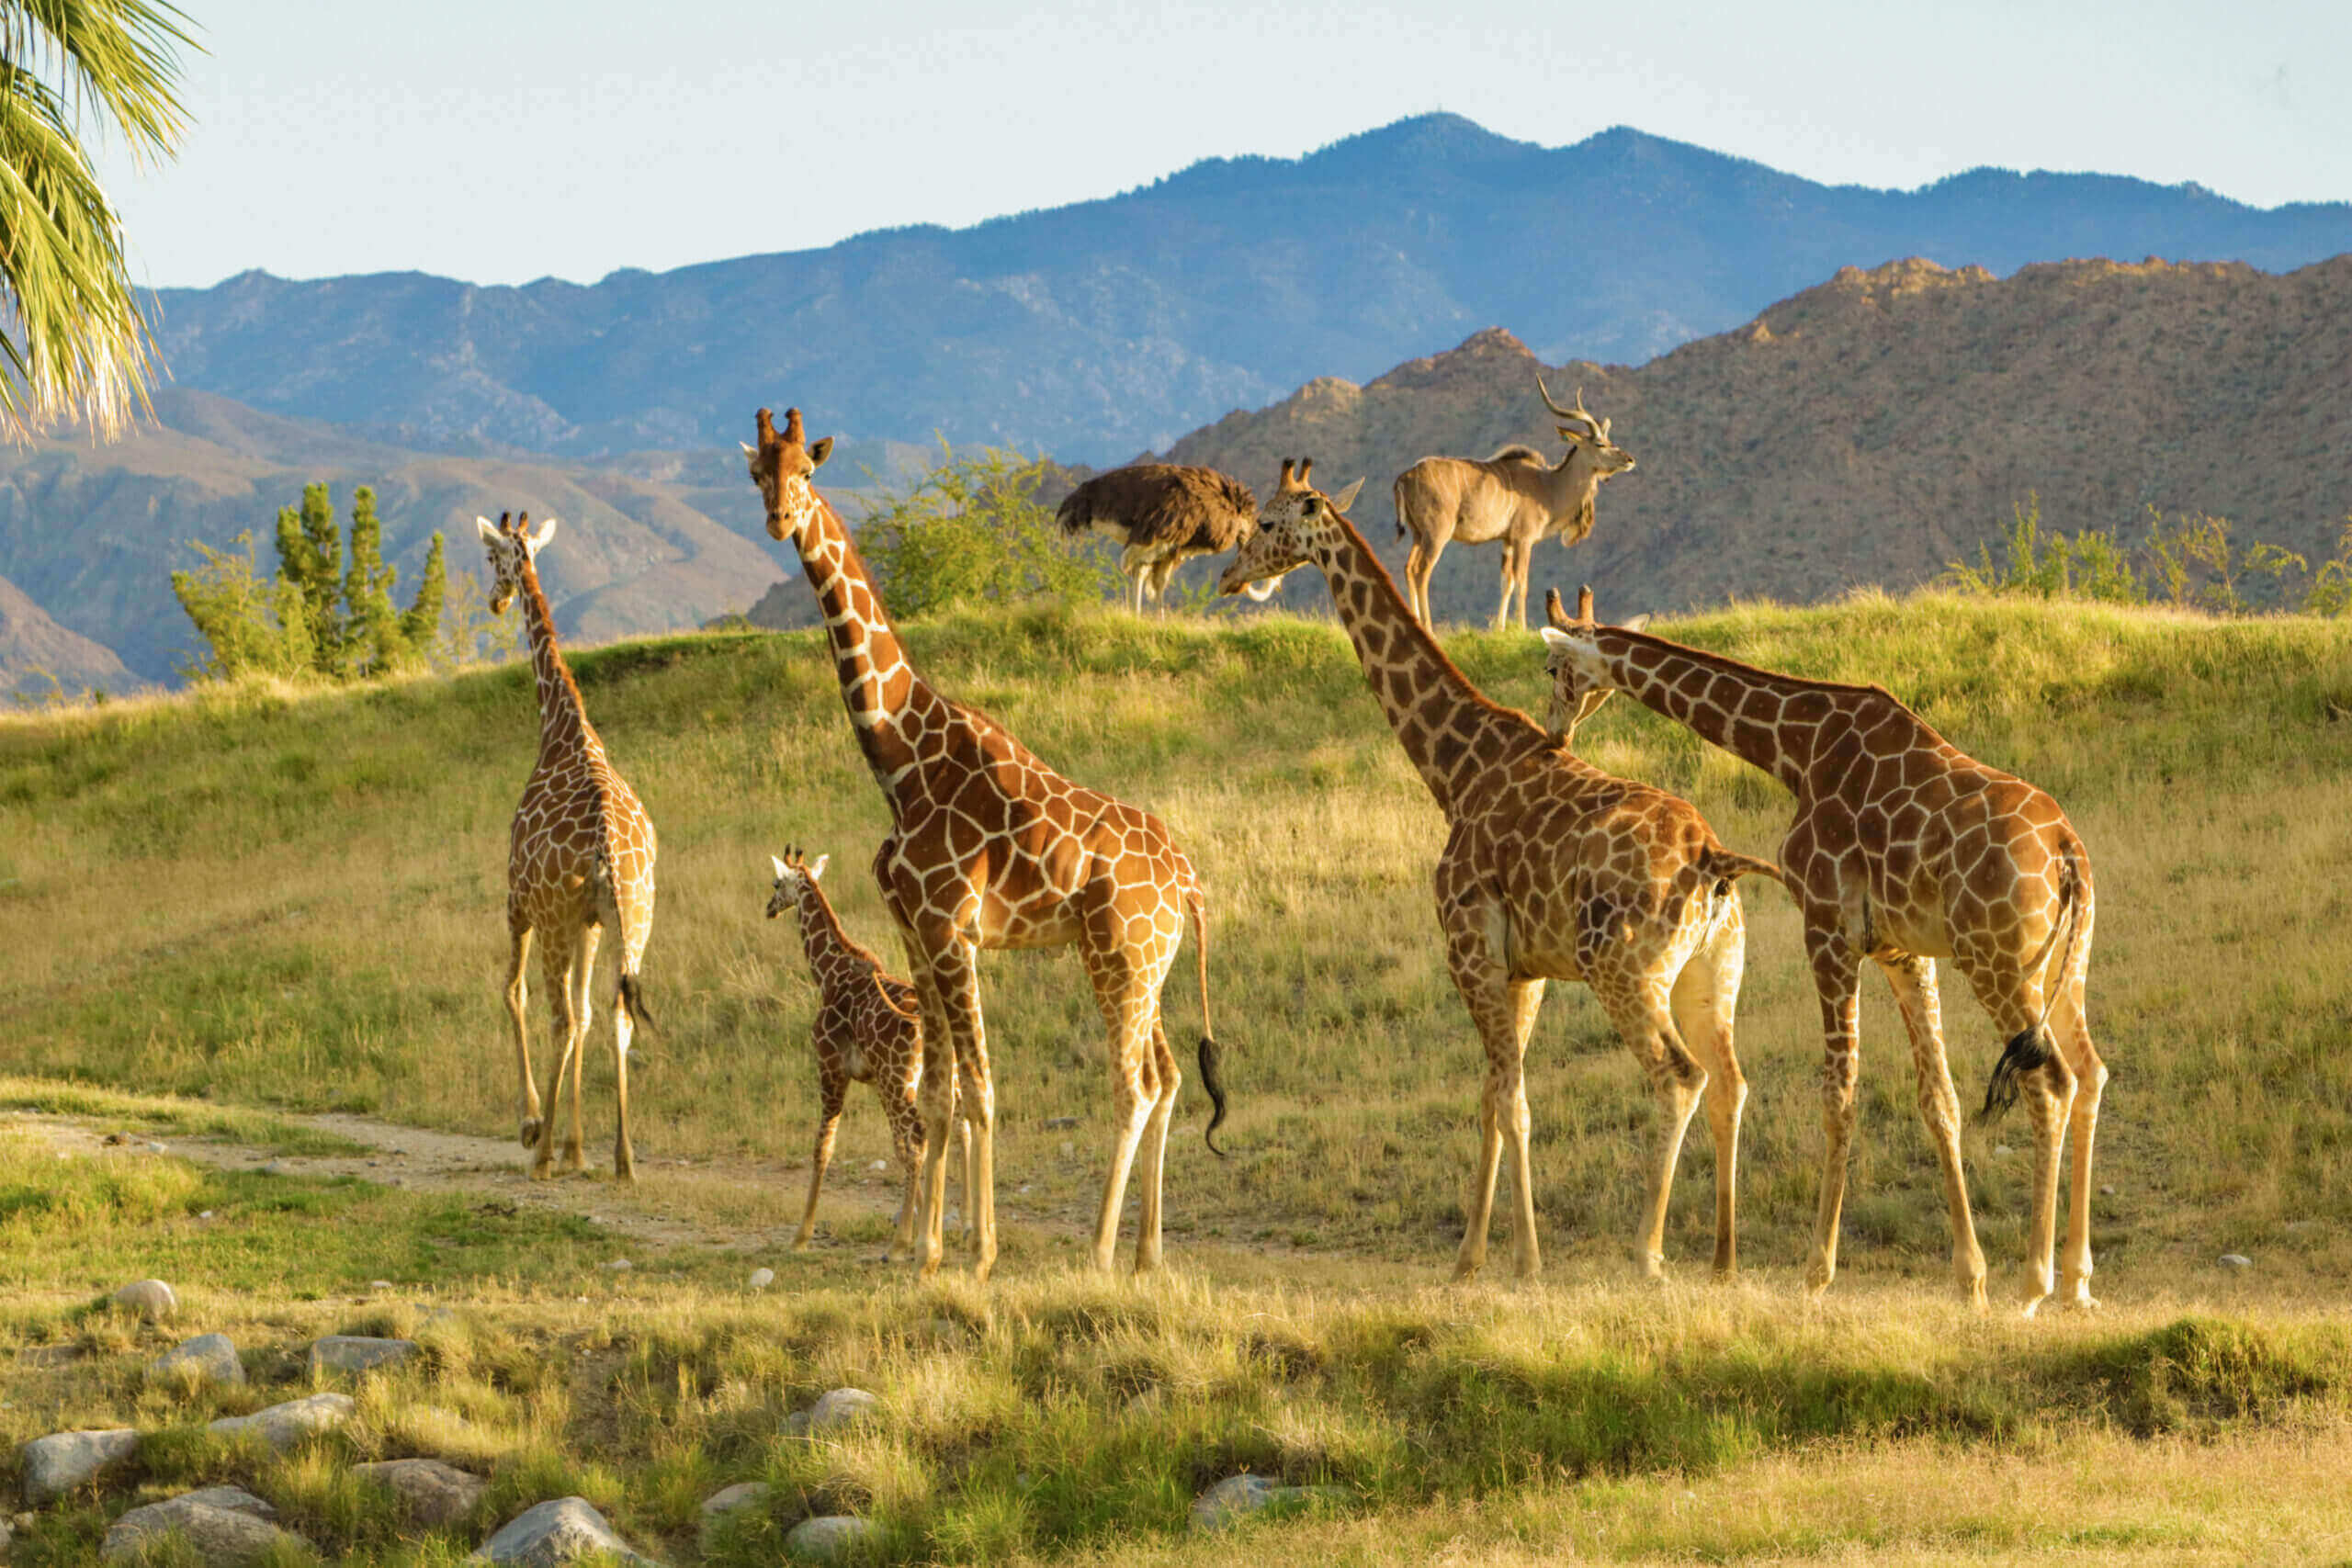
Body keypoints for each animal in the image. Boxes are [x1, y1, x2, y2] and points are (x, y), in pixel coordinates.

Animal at [477, 511, 659, 1183]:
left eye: (491, 559)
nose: (497, 599)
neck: (560, 726)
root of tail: (605, 847)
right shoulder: (593, 921)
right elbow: (586, 1014)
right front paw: (582, 1144)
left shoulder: (517, 901)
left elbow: (513, 992)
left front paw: (534, 1124)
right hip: (634, 916)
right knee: (615, 1013)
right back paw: (623, 1156)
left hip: (555, 918)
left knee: (556, 1013)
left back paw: (544, 1153)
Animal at [767, 845, 972, 1255]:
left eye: (776, 882)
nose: (769, 908)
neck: (828, 974)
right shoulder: (875, 1079)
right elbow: (897, 1148)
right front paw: (924, 1220)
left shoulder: (831, 1066)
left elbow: (823, 1146)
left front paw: (801, 1235)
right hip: (937, 1078)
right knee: (960, 1130)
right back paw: (966, 1228)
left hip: (900, 1079)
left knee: (922, 1135)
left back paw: (900, 1244)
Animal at [1216, 462, 1779, 1281]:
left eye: (1265, 522)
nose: (1228, 574)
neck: (1456, 770)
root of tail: (1713, 858)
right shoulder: (1525, 967)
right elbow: (1491, 1096)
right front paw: (1472, 1256)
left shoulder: (1468, 947)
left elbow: (1510, 1098)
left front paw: (1526, 1260)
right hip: (1715, 968)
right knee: (1731, 1082)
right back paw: (1724, 1259)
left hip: (1625, 970)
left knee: (1679, 1077)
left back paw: (1647, 1253)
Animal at [1536, 589, 2104, 1314]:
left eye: (1553, 667)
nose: (1554, 733)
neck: (1797, 749)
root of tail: (2067, 851)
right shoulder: (1902, 952)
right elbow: (1938, 1099)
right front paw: (1970, 1277)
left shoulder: (1827, 928)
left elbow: (1839, 1095)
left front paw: (1816, 1272)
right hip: (2064, 965)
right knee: (2090, 1071)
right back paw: (2078, 1280)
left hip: (1998, 962)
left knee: (2051, 1080)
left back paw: (2035, 1282)